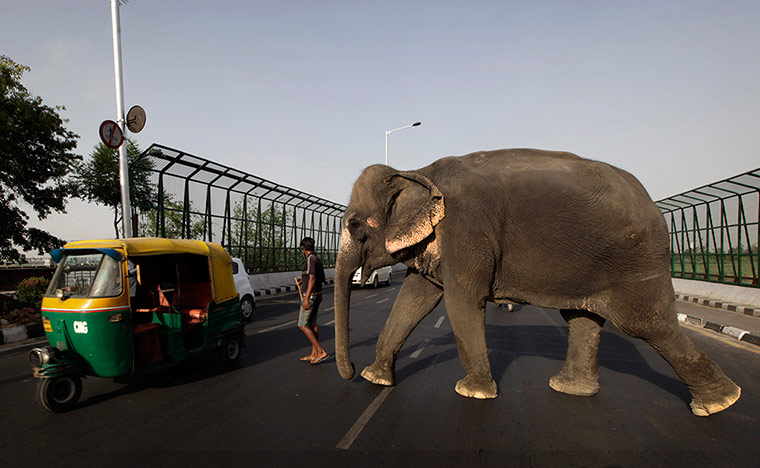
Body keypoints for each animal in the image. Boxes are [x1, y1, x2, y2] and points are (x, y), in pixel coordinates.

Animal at [333, 148, 741, 416]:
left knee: (646, 324)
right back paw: (570, 389)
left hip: (634, 260)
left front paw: (473, 394)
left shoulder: (468, 232)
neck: (418, 171)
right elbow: (414, 298)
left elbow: (461, 301)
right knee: (582, 318)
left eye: (354, 224)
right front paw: (376, 379)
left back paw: (720, 403)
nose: (348, 373)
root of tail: (653, 205)